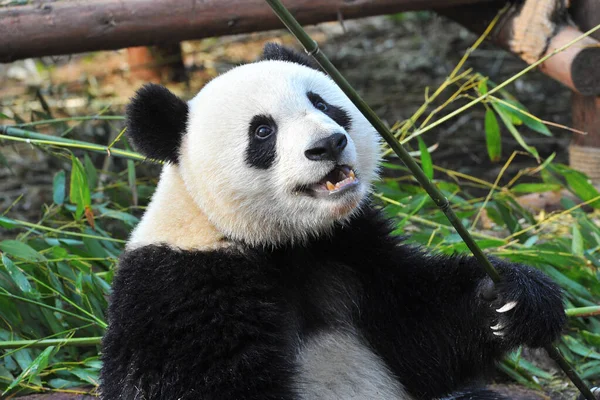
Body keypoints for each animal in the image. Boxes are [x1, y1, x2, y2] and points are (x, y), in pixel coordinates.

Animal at [102, 43, 568, 400]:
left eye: (322, 103)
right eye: (262, 132)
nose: (328, 144)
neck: (283, 241)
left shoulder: (352, 248)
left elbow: (424, 335)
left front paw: (511, 298)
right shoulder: (184, 291)